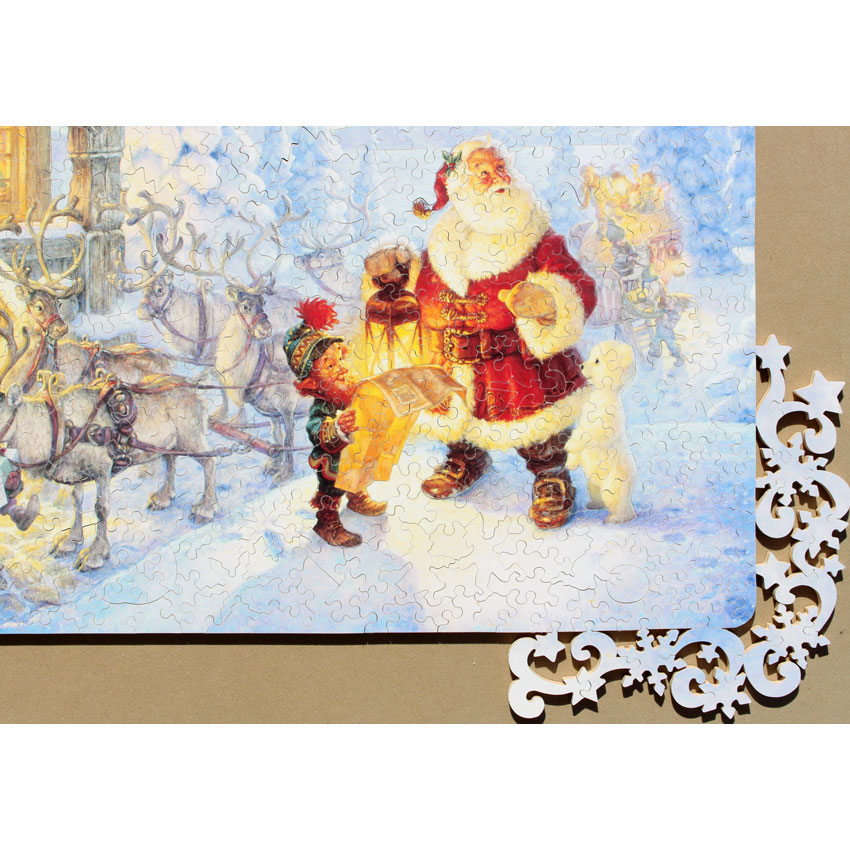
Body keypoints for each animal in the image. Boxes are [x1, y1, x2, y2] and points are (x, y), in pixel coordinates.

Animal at [0, 371, 220, 572]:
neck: (59, 430)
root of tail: (194, 386)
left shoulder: (102, 469)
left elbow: (101, 509)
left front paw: (95, 554)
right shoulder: (75, 473)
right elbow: (77, 501)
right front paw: (70, 540)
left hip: (190, 437)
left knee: (209, 461)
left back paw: (206, 508)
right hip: (167, 442)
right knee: (170, 459)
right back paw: (163, 498)